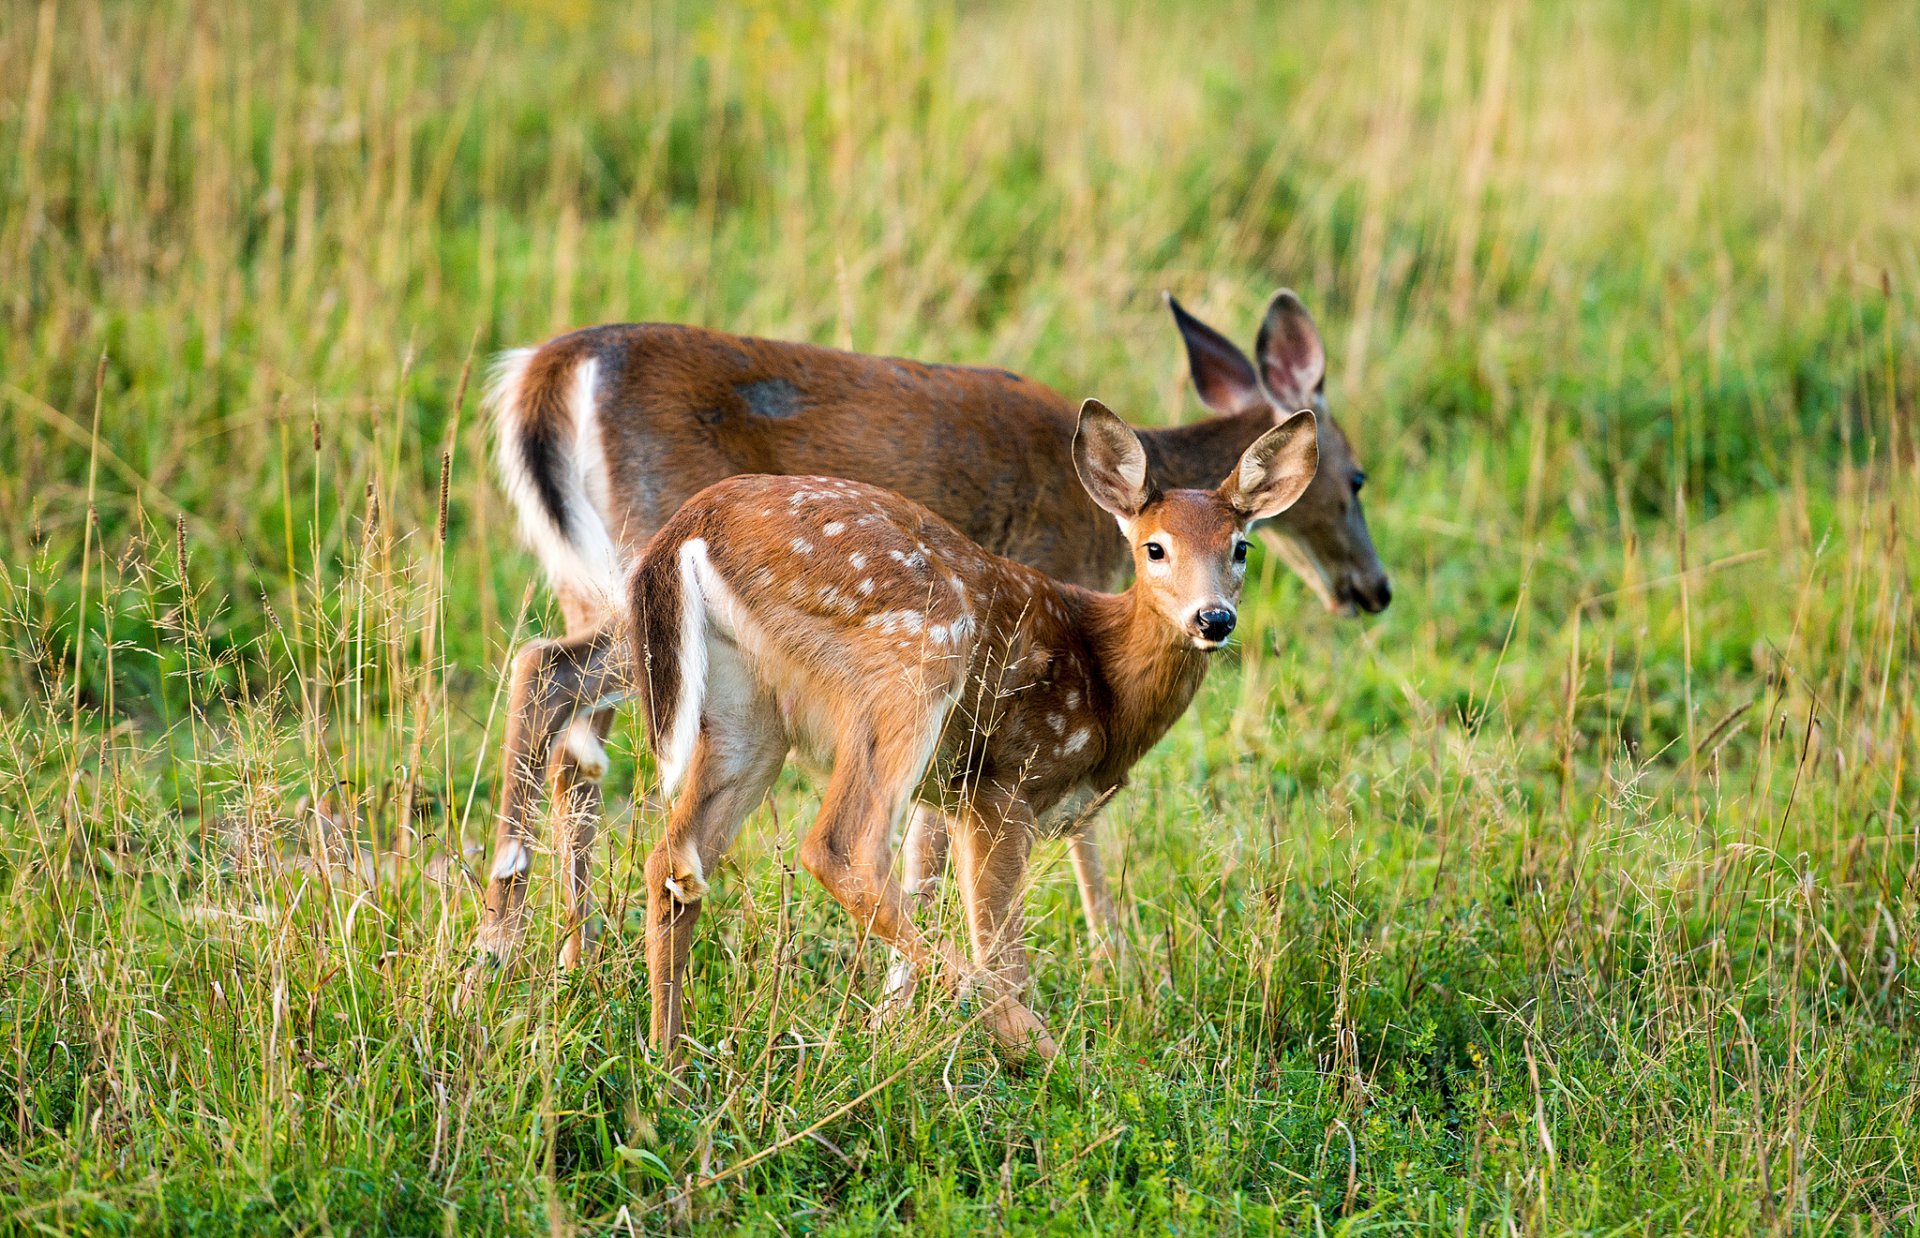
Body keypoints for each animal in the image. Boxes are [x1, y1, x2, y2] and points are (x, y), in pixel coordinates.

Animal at [476, 287, 1382, 967]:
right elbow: (1032, 821)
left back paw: (568, 950)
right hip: (652, 576)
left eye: (1241, 542)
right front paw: (1115, 960)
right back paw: (502, 943)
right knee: (548, 673)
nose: (1374, 589)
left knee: (573, 731)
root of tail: (544, 374)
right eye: (1359, 479)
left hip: (596, 583)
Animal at [629, 401, 1320, 1059]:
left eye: (1240, 547)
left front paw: (895, 1028)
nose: (1214, 618)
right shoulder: (1003, 784)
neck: (1106, 684)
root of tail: (694, 525)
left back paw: (669, 1063)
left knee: (675, 861)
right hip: (915, 657)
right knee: (841, 847)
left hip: (748, 710)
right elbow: (1002, 949)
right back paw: (1045, 1050)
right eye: (1155, 548)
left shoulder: (956, 795)